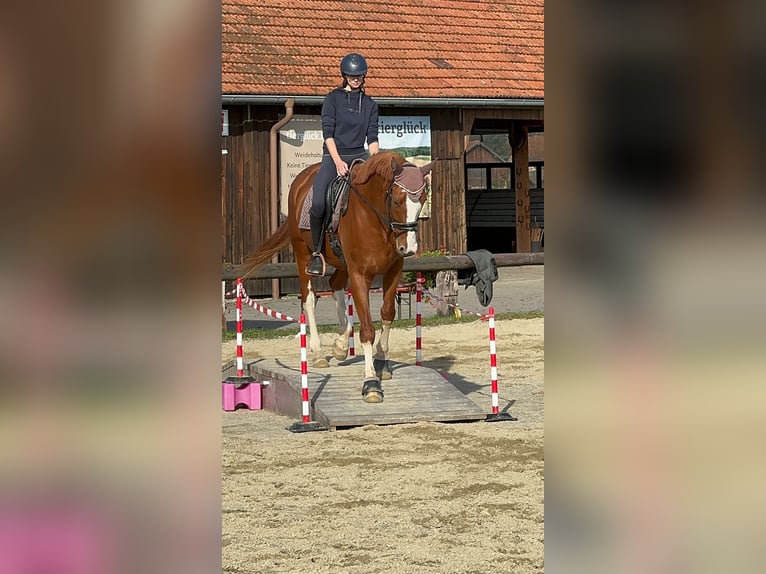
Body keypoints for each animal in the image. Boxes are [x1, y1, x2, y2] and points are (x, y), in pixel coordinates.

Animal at [240, 153, 432, 404]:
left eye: (422, 200)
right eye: (398, 201)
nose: (408, 248)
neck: (373, 216)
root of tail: (303, 177)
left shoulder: (393, 270)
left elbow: (387, 314)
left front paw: (381, 361)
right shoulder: (360, 275)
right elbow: (367, 328)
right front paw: (371, 383)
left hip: (341, 263)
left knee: (335, 286)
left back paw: (340, 345)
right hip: (303, 255)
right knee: (309, 299)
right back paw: (318, 352)